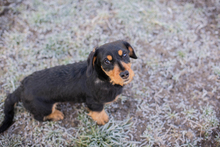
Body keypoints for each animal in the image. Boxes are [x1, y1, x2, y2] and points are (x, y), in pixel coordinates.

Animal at [0, 39, 137, 133]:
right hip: (44, 107)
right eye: (106, 61)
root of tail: (21, 88)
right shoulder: (94, 102)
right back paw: (56, 115)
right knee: (38, 117)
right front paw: (102, 119)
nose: (125, 74)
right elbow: (98, 112)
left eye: (125, 54)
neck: (103, 78)